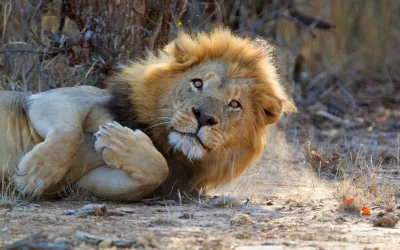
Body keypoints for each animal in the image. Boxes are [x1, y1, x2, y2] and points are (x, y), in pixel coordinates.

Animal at [0, 28, 296, 202]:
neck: (164, 142)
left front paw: (120, 142)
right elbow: (69, 133)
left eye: (234, 104)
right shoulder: (47, 98)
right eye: (197, 83)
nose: (203, 116)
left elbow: (156, 169)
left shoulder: (85, 186)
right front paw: (36, 173)